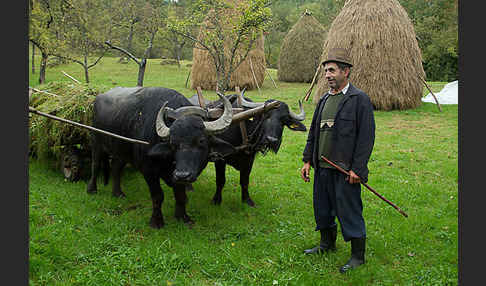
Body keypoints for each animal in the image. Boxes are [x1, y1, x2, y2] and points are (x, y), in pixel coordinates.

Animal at [86, 86, 237, 228]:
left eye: (201, 141)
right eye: (172, 143)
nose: (183, 175)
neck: (168, 161)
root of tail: (97, 99)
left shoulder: (176, 174)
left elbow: (180, 194)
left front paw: (182, 217)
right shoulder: (149, 171)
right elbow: (158, 196)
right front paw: (156, 221)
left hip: (121, 150)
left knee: (116, 167)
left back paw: (117, 193)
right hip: (96, 141)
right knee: (95, 165)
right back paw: (91, 189)